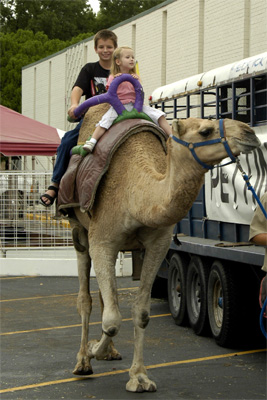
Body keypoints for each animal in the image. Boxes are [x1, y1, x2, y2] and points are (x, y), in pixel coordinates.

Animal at [65, 104, 262, 394]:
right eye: (205, 130)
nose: (249, 133)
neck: (137, 195)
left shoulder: (158, 244)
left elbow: (141, 312)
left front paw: (139, 377)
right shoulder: (102, 240)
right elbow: (112, 320)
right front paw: (92, 351)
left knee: (103, 298)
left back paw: (110, 352)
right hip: (79, 230)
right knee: (84, 298)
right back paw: (82, 361)